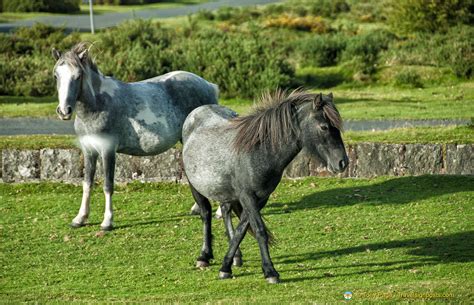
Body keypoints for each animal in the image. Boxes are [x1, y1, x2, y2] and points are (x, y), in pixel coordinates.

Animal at [51, 41, 218, 229]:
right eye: (56, 75)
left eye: (78, 76)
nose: (64, 111)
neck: (98, 105)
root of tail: (208, 85)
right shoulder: (88, 151)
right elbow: (87, 183)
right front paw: (80, 218)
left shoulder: (108, 151)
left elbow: (108, 185)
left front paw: (107, 221)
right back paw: (197, 208)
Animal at [181, 89, 348, 282]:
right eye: (324, 127)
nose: (343, 163)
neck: (258, 151)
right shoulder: (247, 197)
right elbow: (260, 230)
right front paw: (270, 271)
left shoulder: (260, 198)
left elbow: (241, 230)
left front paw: (226, 267)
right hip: (196, 187)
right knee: (206, 214)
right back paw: (204, 256)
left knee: (225, 212)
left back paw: (236, 256)